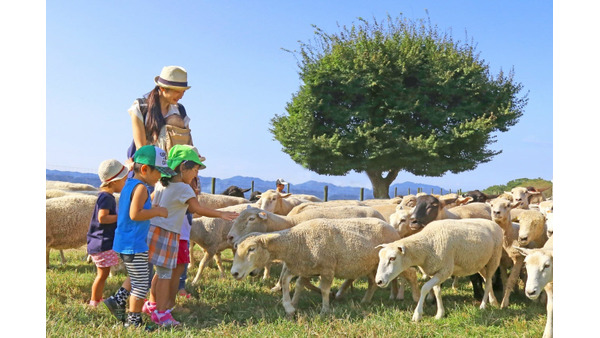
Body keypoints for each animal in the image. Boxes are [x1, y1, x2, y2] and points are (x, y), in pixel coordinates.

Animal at [232, 218, 414, 316]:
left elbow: (325, 290)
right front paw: (292, 305)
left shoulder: (327, 269)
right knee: (372, 283)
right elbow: (291, 283)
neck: (297, 241)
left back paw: (412, 297)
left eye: (251, 249)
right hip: (370, 266)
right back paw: (366, 300)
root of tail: (390, 226)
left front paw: (324, 310)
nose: (234, 273)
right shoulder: (302, 267)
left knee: (410, 275)